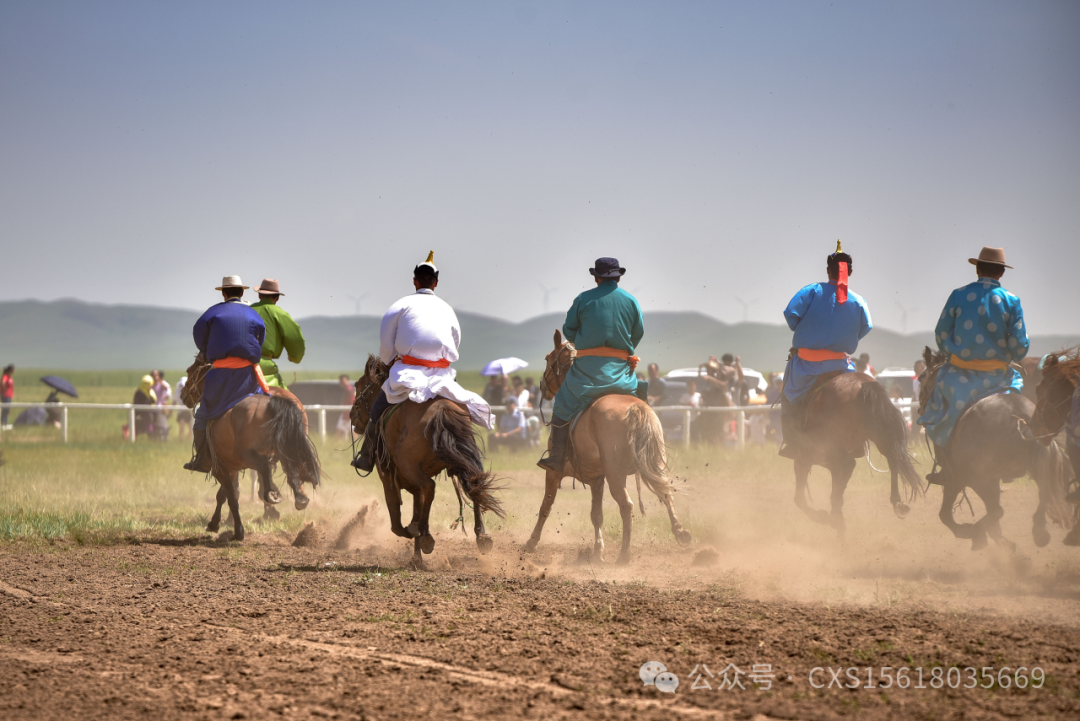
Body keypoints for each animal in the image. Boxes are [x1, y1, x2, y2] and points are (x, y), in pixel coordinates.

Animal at [354, 354, 505, 569]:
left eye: (359, 385)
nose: (352, 416)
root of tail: (441, 408)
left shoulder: (388, 478)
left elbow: (396, 519)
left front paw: (414, 532)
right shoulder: (415, 486)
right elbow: (419, 508)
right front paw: (417, 558)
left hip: (410, 467)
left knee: (431, 487)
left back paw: (426, 536)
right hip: (465, 459)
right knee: (474, 484)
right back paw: (481, 536)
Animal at [522, 330, 691, 561]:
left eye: (549, 358)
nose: (541, 386)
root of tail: (636, 408)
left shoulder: (554, 473)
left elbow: (545, 506)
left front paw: (531, 542)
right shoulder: (596, 478)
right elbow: (596, 515)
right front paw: (598, 550)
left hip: (616, 475)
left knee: (627, 505)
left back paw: (624, 555)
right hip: (652, 464)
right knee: (666, 493)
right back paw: (680, 531)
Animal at [786, 369, 920, 533]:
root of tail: (862, 384)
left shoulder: (808, 457)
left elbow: (799, 498)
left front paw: (824, 517)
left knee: (849, 465)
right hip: (879, 433)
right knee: (893, 458)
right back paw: (897, 503)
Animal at [920, 345, 1071, 548]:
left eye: (921, 377)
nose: (919, 407)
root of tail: (1018, 415)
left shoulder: (956, 477)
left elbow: (945, 515)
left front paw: (969, 532)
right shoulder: (992, 477)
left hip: (978, 478)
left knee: (996, 510)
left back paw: (977, 533)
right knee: (1043, 493)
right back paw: (1039, 532)